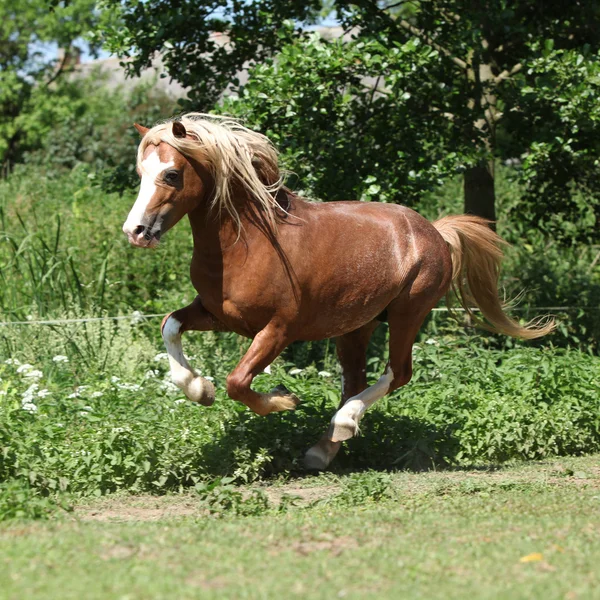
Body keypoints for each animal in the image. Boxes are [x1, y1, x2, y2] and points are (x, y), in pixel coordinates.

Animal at [120, 112, 552, 468]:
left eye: (171, 174)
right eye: (140, 173)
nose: (135, 231)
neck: (248, 242)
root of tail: (434, 231)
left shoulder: (278, 330)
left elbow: (238, 382)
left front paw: (284, 398)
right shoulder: (219, 315)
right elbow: (169, 325)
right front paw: (199, 389)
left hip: (408, 312)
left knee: (398, 372)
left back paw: (343, 423)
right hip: (357, 326)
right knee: (357, 380)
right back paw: (322, 449)